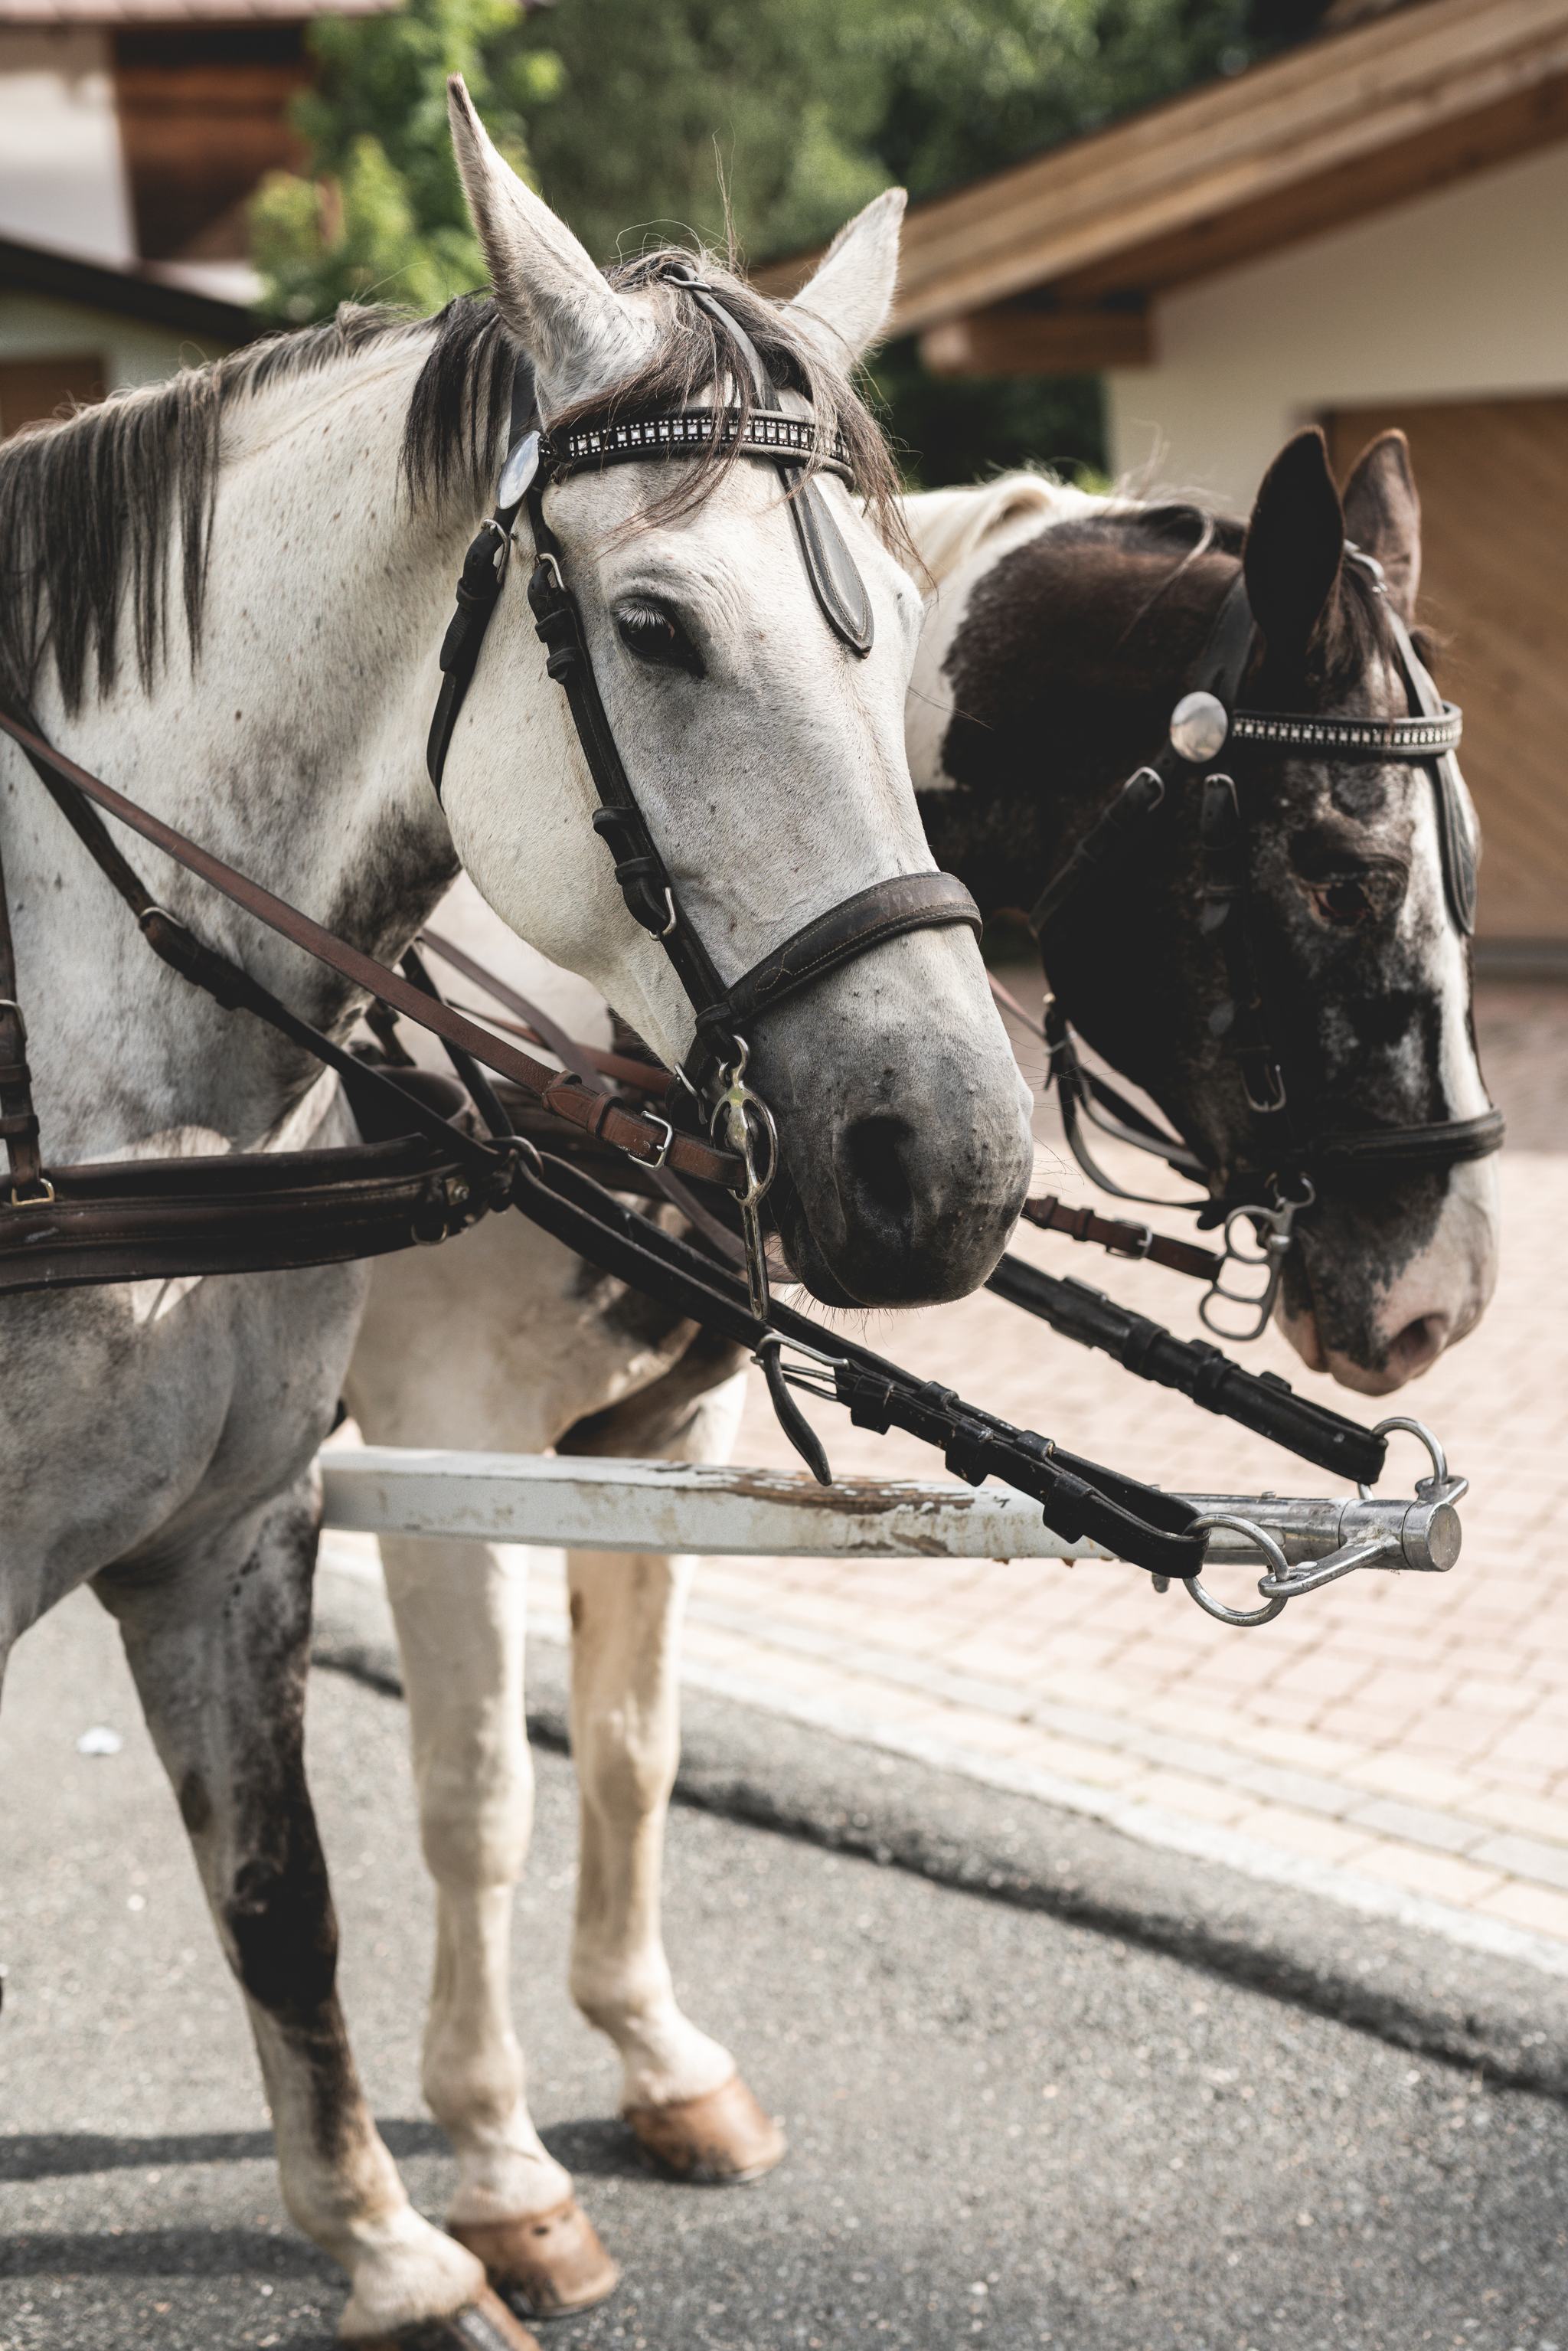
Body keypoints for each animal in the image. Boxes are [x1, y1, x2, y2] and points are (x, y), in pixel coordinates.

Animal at [0, 83, 1035, 2349]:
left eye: (904, 635)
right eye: (652, 628)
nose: (954, 1156)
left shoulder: (240, 1530)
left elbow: (293, 1896)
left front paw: (393, 2241)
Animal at [340, 421, 1501, 2320]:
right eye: (1336, 866)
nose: (1441, 1297)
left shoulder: (664, 1429)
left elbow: (632, 1748)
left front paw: (658, 2058)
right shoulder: (445, 1440)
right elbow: (477, 1796)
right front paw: (502, 2161)